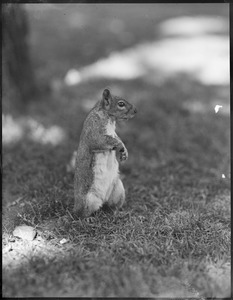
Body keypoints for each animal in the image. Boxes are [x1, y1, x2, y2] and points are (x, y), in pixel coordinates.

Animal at [73, 88, 137, 217]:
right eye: (121, 104)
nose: (135, 111)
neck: (110, 118)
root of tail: (103, 199)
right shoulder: (93, 130)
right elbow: (101, 141)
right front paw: (120, 145)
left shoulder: (113, 132)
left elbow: (116, 137)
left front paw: (124, 151)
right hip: (87, 200)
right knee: (83, 213)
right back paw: (87, 218)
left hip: (118, 190)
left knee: (111, 207)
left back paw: (117, 212)